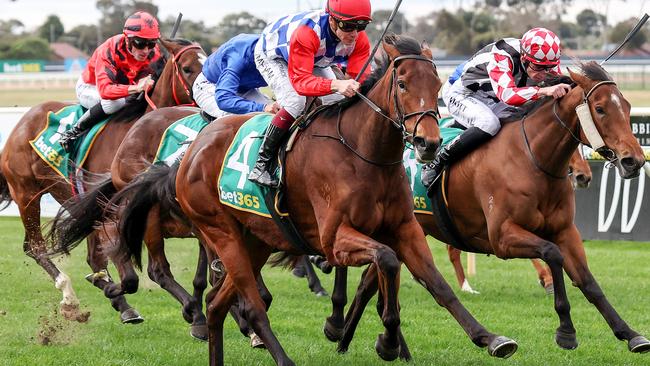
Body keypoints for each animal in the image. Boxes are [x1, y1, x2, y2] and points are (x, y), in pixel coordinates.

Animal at [0, 38, 204, 324]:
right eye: (187, 68)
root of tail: (22, 123)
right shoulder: (114, 207)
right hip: (26, 194)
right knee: (35, 247)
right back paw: (69, 295)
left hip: (71, 197)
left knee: (90, 257)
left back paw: (120, 302)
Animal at [111, 36, 516, 366]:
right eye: (402, 84)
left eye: (437, 86)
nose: (429, 144)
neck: (364, 153)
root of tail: (188, 153)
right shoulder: (334, 238)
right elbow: (386, 261)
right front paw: (384, 339)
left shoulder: (404, 229)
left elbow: (437, 284)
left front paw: (490, 338)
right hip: (220, 232)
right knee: (251, 306)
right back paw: (280, 356)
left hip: (255, 239)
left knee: (216, 304)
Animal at [332, 62, 644, 354]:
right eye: (600, 109)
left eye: (627, 107)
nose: (634, 160)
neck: (532, 158)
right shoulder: (502, 237)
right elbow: (551, 253)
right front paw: (566, 330)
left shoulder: (565, 231)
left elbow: (589, 283)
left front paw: (630, 334)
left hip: (400, 233)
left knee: (367, 284)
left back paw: (346, 340)